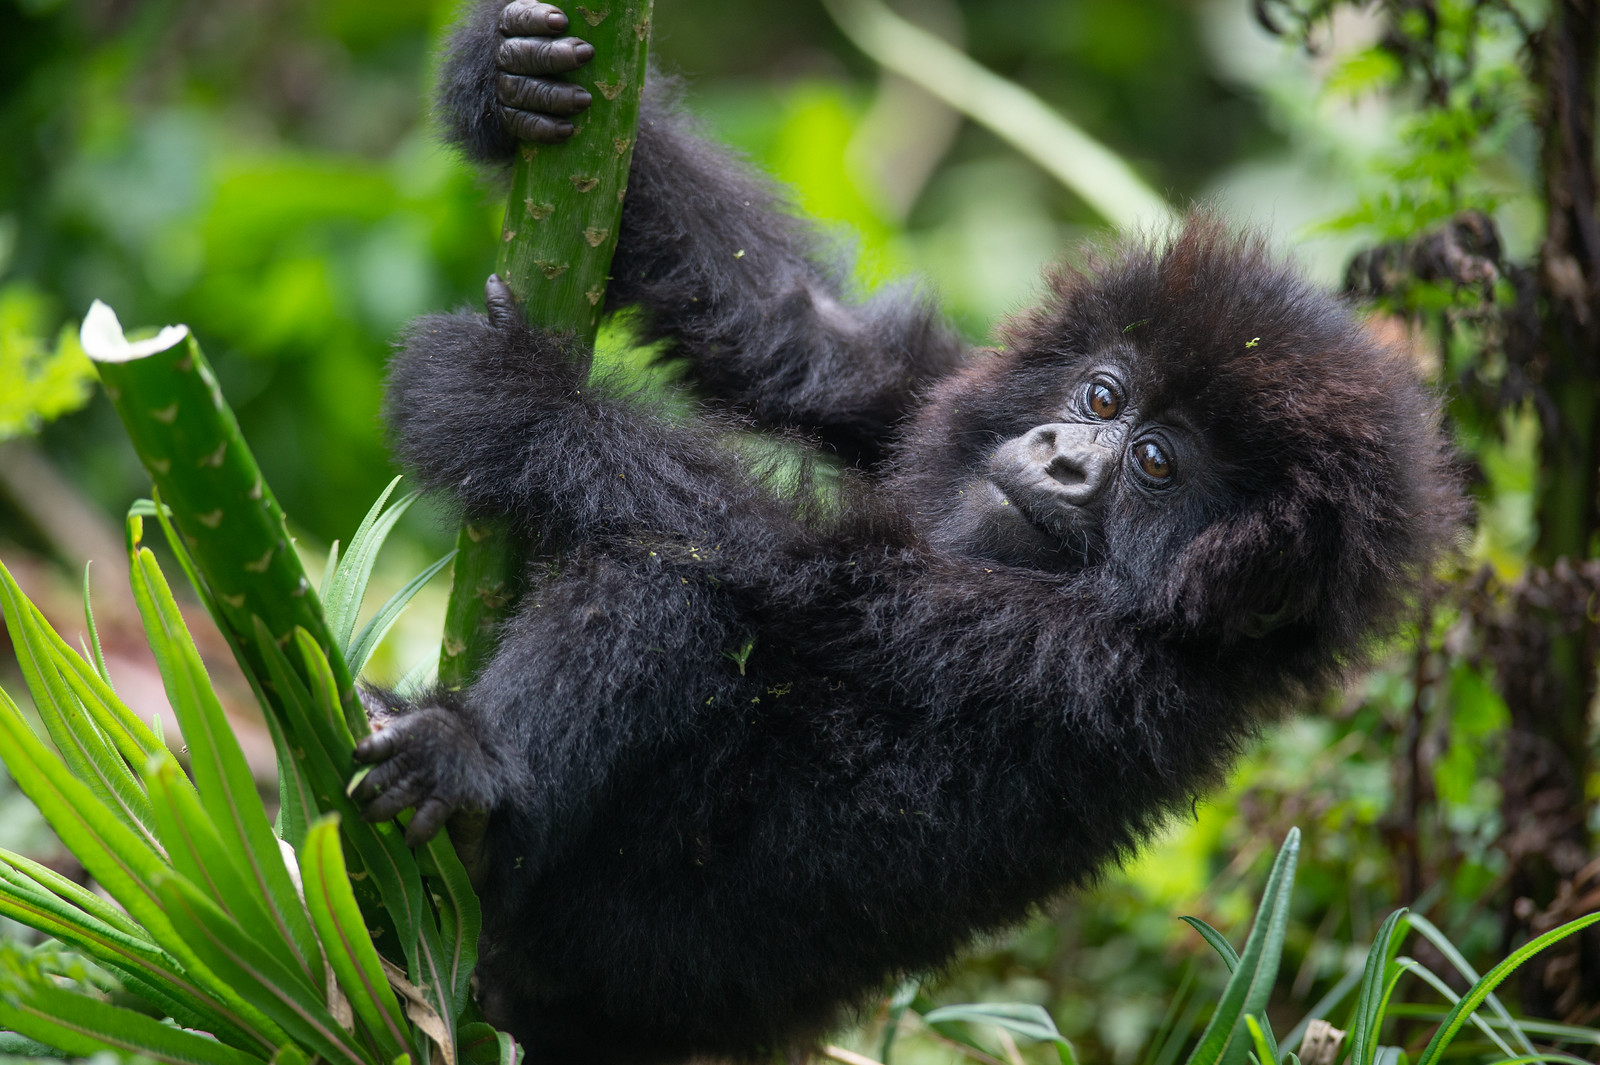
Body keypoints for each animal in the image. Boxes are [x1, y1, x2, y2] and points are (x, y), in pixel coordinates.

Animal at [353, 4, 1461, 1062]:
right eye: (1102, 396)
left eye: (1155, 466)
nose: (1063, 457)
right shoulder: (934, 394)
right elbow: (803, 335)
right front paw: (508, 74)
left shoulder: (1085, 662)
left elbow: (808, 574)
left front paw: (513, 403)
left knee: (669, 586)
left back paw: (470, 770)